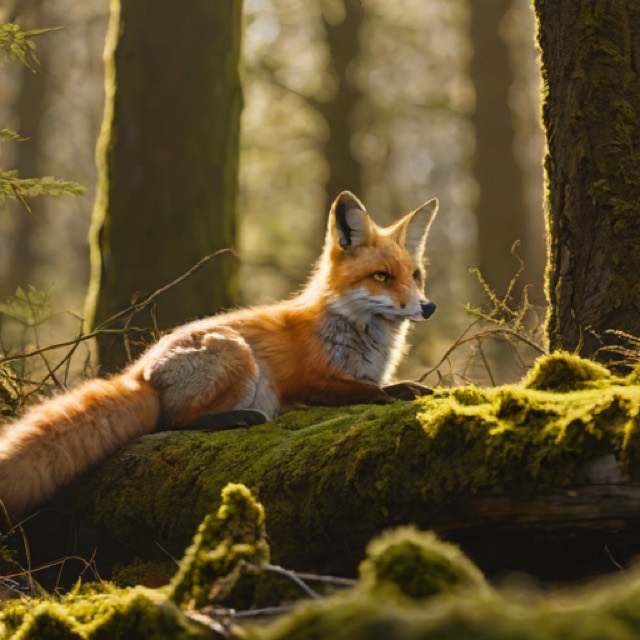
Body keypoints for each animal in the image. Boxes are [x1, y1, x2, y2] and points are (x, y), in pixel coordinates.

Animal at [0, 191, 438, 516]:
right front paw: (398, 394)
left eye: (415, 276)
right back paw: (240, 417)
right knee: (171, 421)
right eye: (382, 277)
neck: (362, 337)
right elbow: (371, 392)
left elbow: (383, 385)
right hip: (237, 354)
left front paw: (409, 387)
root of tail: (138, 371)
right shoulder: (308, 381)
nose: (428, 307)